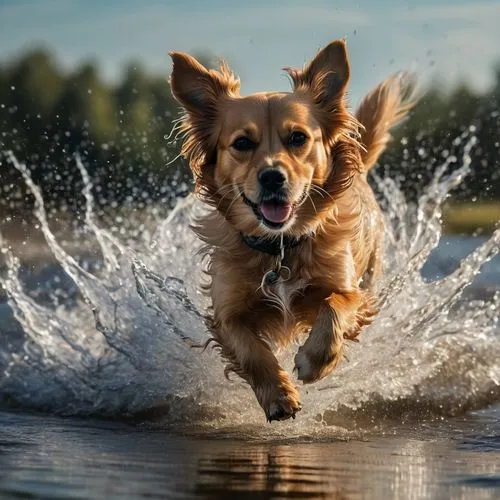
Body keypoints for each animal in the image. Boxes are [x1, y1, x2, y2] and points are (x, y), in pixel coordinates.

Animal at [170, 40, 416, 422]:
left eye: (298, 137)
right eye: (242, 143)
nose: (273, 176)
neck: (280, 245)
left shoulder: (350, 291)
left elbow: (334, 308)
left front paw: (314, 361)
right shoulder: (227, 313)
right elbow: (251, 351)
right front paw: (279, 395)